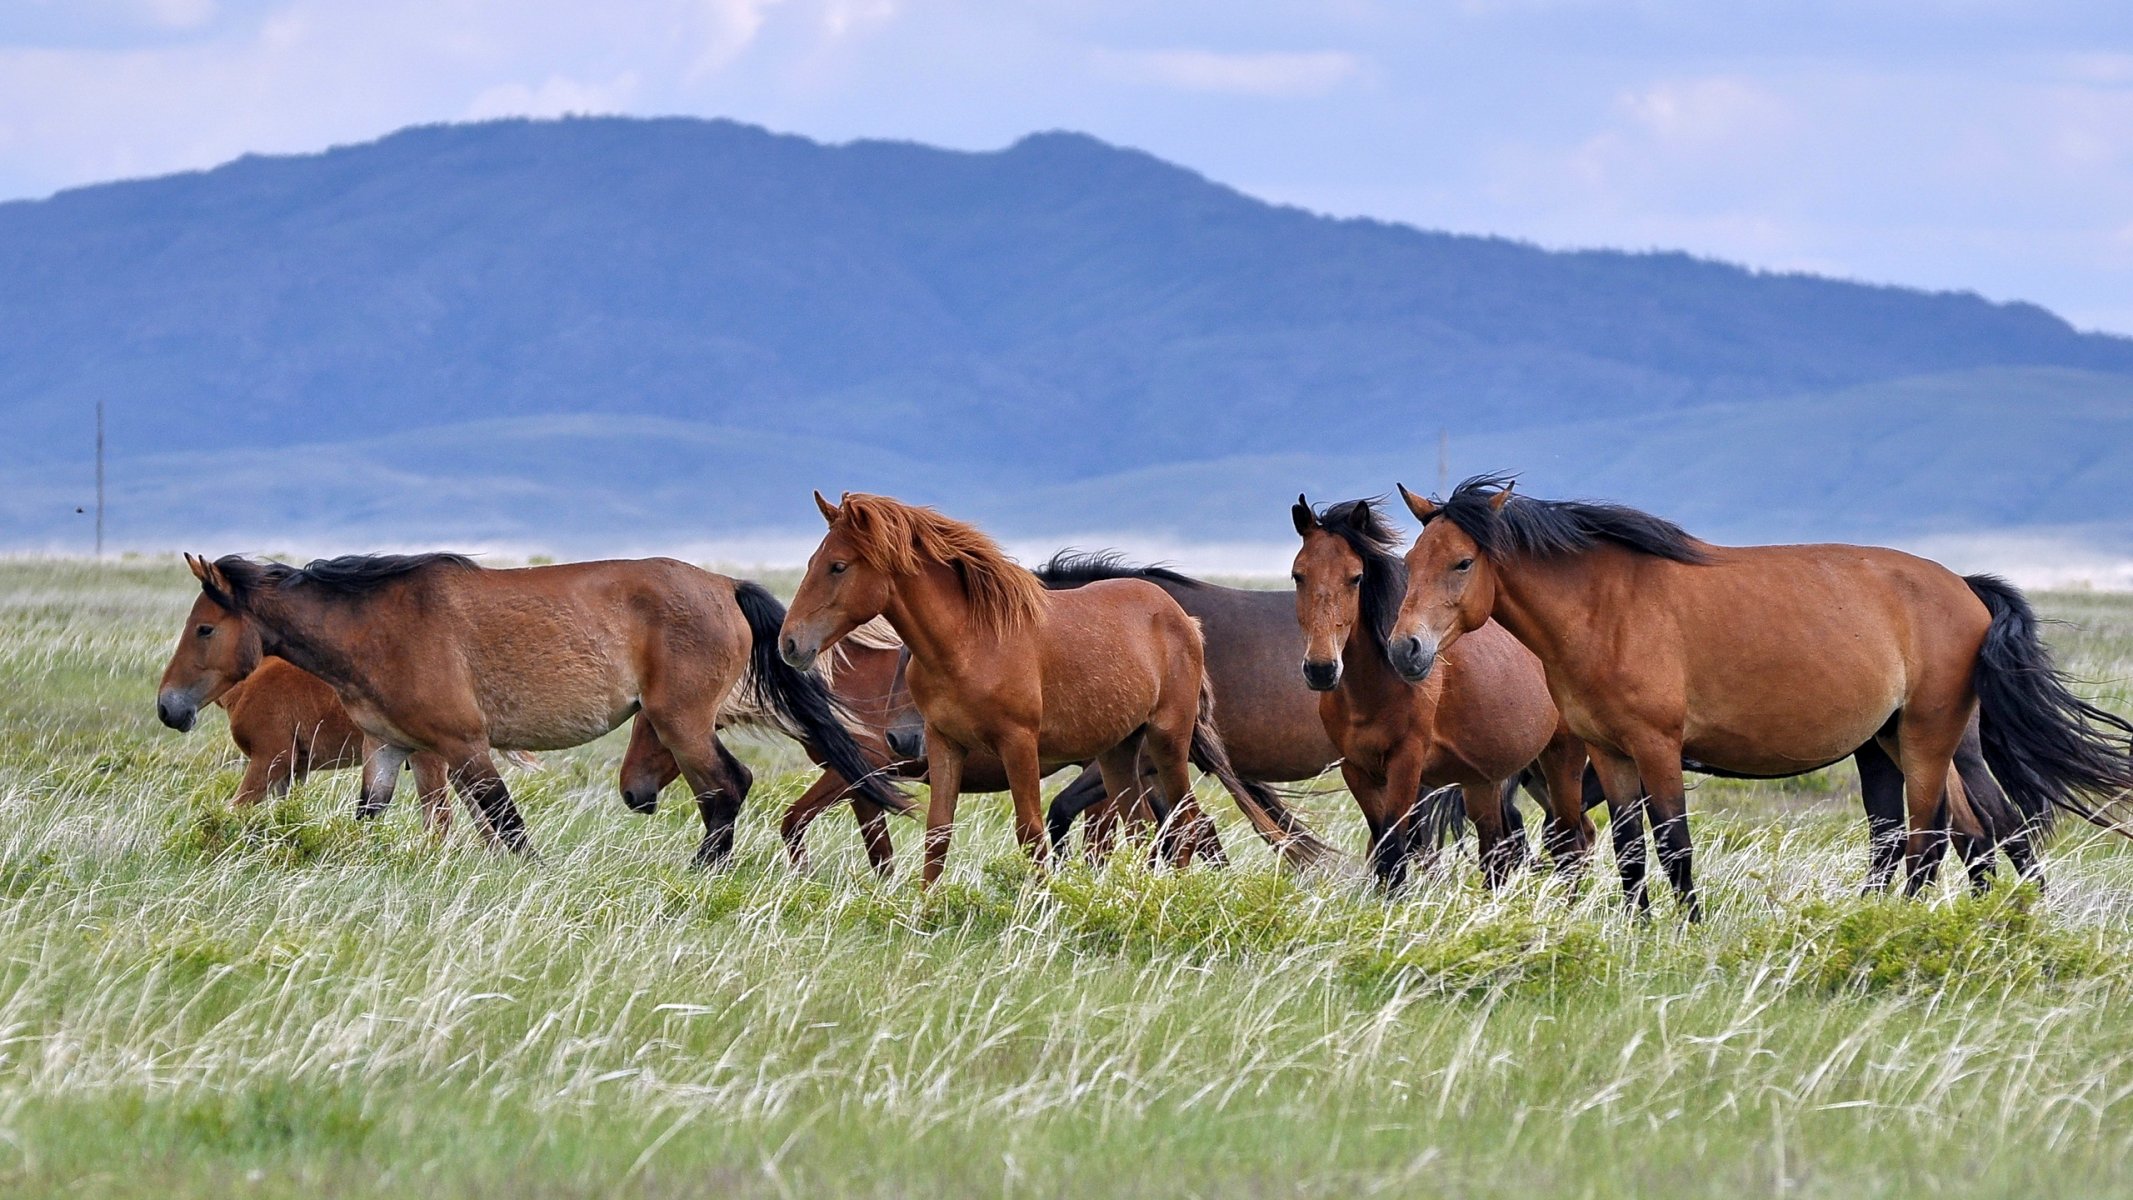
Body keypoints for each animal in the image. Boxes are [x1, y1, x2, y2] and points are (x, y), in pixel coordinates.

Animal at [172, 554, 891, 865]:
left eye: (204, 628)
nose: (169, 706)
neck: (377, 625)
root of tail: (723, 584)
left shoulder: (463, 744)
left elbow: (507, 826)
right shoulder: (392, 749)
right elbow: (371, 816)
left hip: (681, 722)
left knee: (725, 788)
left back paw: (701, 875)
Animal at [780, 492, 1330, 886]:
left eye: (838, 566)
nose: (791, 643)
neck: (974, 643)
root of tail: (1181, 618)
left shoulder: (1018, 745)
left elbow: (1032, 833)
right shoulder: (943, 745)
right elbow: (937, 833)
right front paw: (925, 911)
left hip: (1167, 744)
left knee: (1187, 824)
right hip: (1119, 753)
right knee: (1143, 828)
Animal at [1288, 498, 1595, 890]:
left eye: (1355, 577)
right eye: (1299, 575)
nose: (1322, 668)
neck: (1372, 691)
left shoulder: (1406, 764)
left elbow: (1392, 851)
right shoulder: (1356, 769)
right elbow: (1380, 846)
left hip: (1561, 758)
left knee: (1571, 840)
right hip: (1493, 779)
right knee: (1502, 849)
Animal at [1390, 475, 2124, 916]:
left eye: (1461, 562)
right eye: (1412, 562)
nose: (1406, 649)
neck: (1606, 608)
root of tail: (1964, 587)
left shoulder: (1656, 748)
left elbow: (1673, 843)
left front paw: (1687, 930)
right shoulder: (1609, 754)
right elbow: (1628, 849)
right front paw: (1635, 929)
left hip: (1926, 736)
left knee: (1933, 834)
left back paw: (1909, 920)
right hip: (1902, 739)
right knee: (1976, 827)